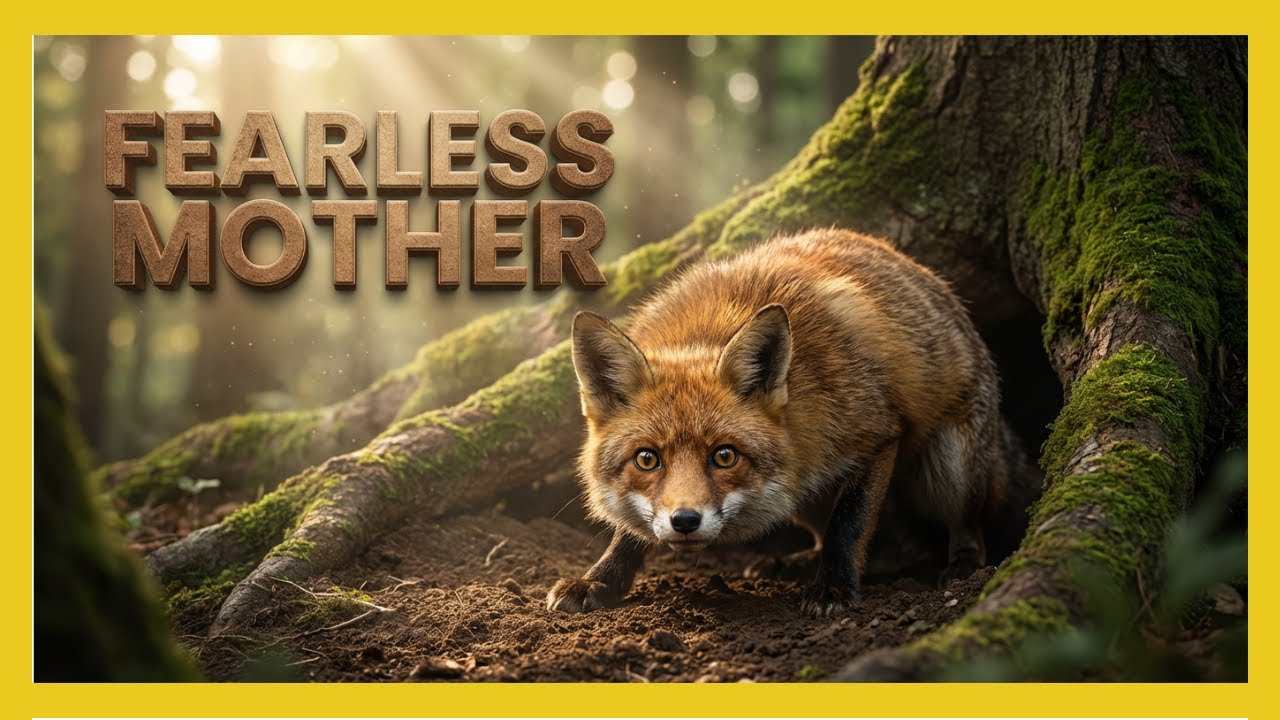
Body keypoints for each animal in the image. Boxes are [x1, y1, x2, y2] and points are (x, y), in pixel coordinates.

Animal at [546, 228, 1022, 617]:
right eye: (647, 459)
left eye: (725, 456)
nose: (684, 521)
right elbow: (628, 534)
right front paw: (599, 581)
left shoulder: (878, 436)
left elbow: (848, 525)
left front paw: (834, 588)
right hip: (803, 496)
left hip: (949, 468)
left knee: (964, 525)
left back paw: (962, 564)